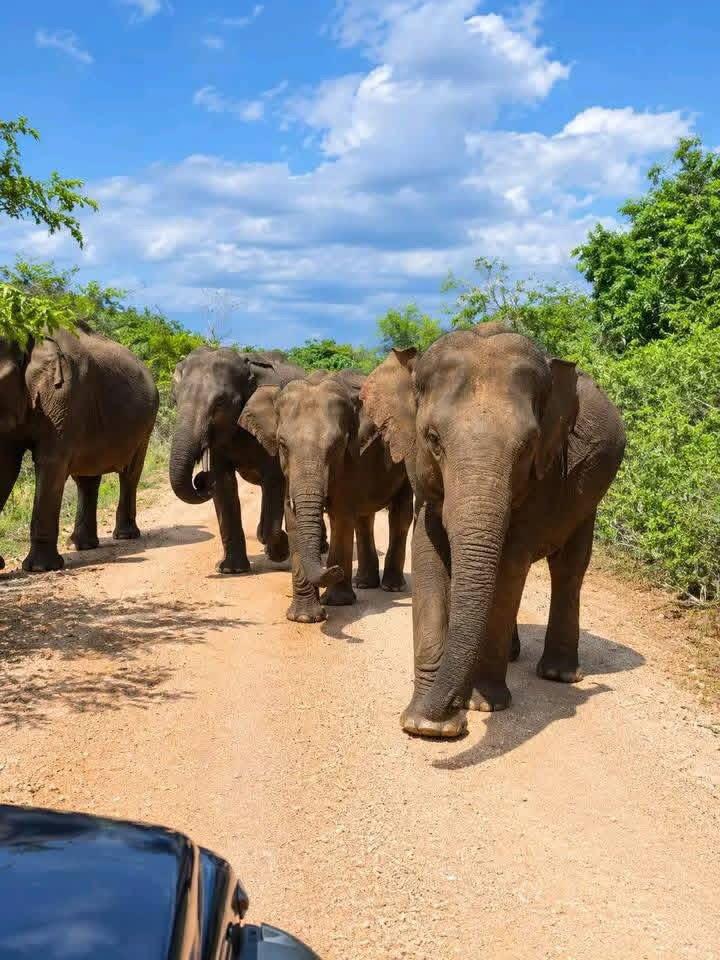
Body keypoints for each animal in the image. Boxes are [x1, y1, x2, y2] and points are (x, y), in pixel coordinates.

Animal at [0, 324, 159, 573]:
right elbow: (5, 465)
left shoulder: (64, 394)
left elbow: (50, 462)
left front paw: (40, 569)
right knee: (87, 478)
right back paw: (82, 545)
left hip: (146, 424)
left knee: (130, 473)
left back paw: (124, 536)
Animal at [169, 347, 306, 574]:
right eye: (175, 400)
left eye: (220, 403)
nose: (201, 479)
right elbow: (224, 484)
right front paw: (230, 571)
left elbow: (274, 479)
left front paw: (279, 550)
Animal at [240, 369, 413, 623]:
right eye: (282, 445)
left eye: (336, 446)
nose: (334, 569)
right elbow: (293, 521)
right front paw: (304, 618)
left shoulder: (350, 459)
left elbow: (340, 517)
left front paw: (338, 602)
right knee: (364, 519)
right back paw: (364, 583)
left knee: (399, 515)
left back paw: (391, 587)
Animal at [360, 324, 626, 738]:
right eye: (432, 439)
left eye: (528, 446)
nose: (449, 708)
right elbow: (429, 555)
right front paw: (426, 725)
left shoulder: (543, 475)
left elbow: (509, 564)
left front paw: (481, 705)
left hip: (589, 498)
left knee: (568, 568)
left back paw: (558, 674)